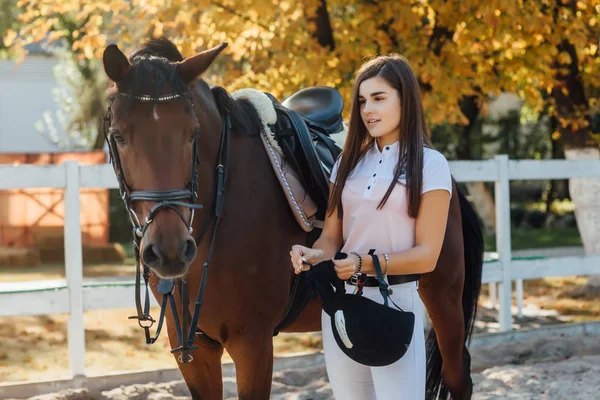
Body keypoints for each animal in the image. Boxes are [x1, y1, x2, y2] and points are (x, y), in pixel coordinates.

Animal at [101, 36, 486, 398]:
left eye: (193, 132)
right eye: (118, 135)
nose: (169, 251)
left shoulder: (252, 343)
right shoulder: (194, 351)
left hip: (444, 295)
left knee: (458, 375)